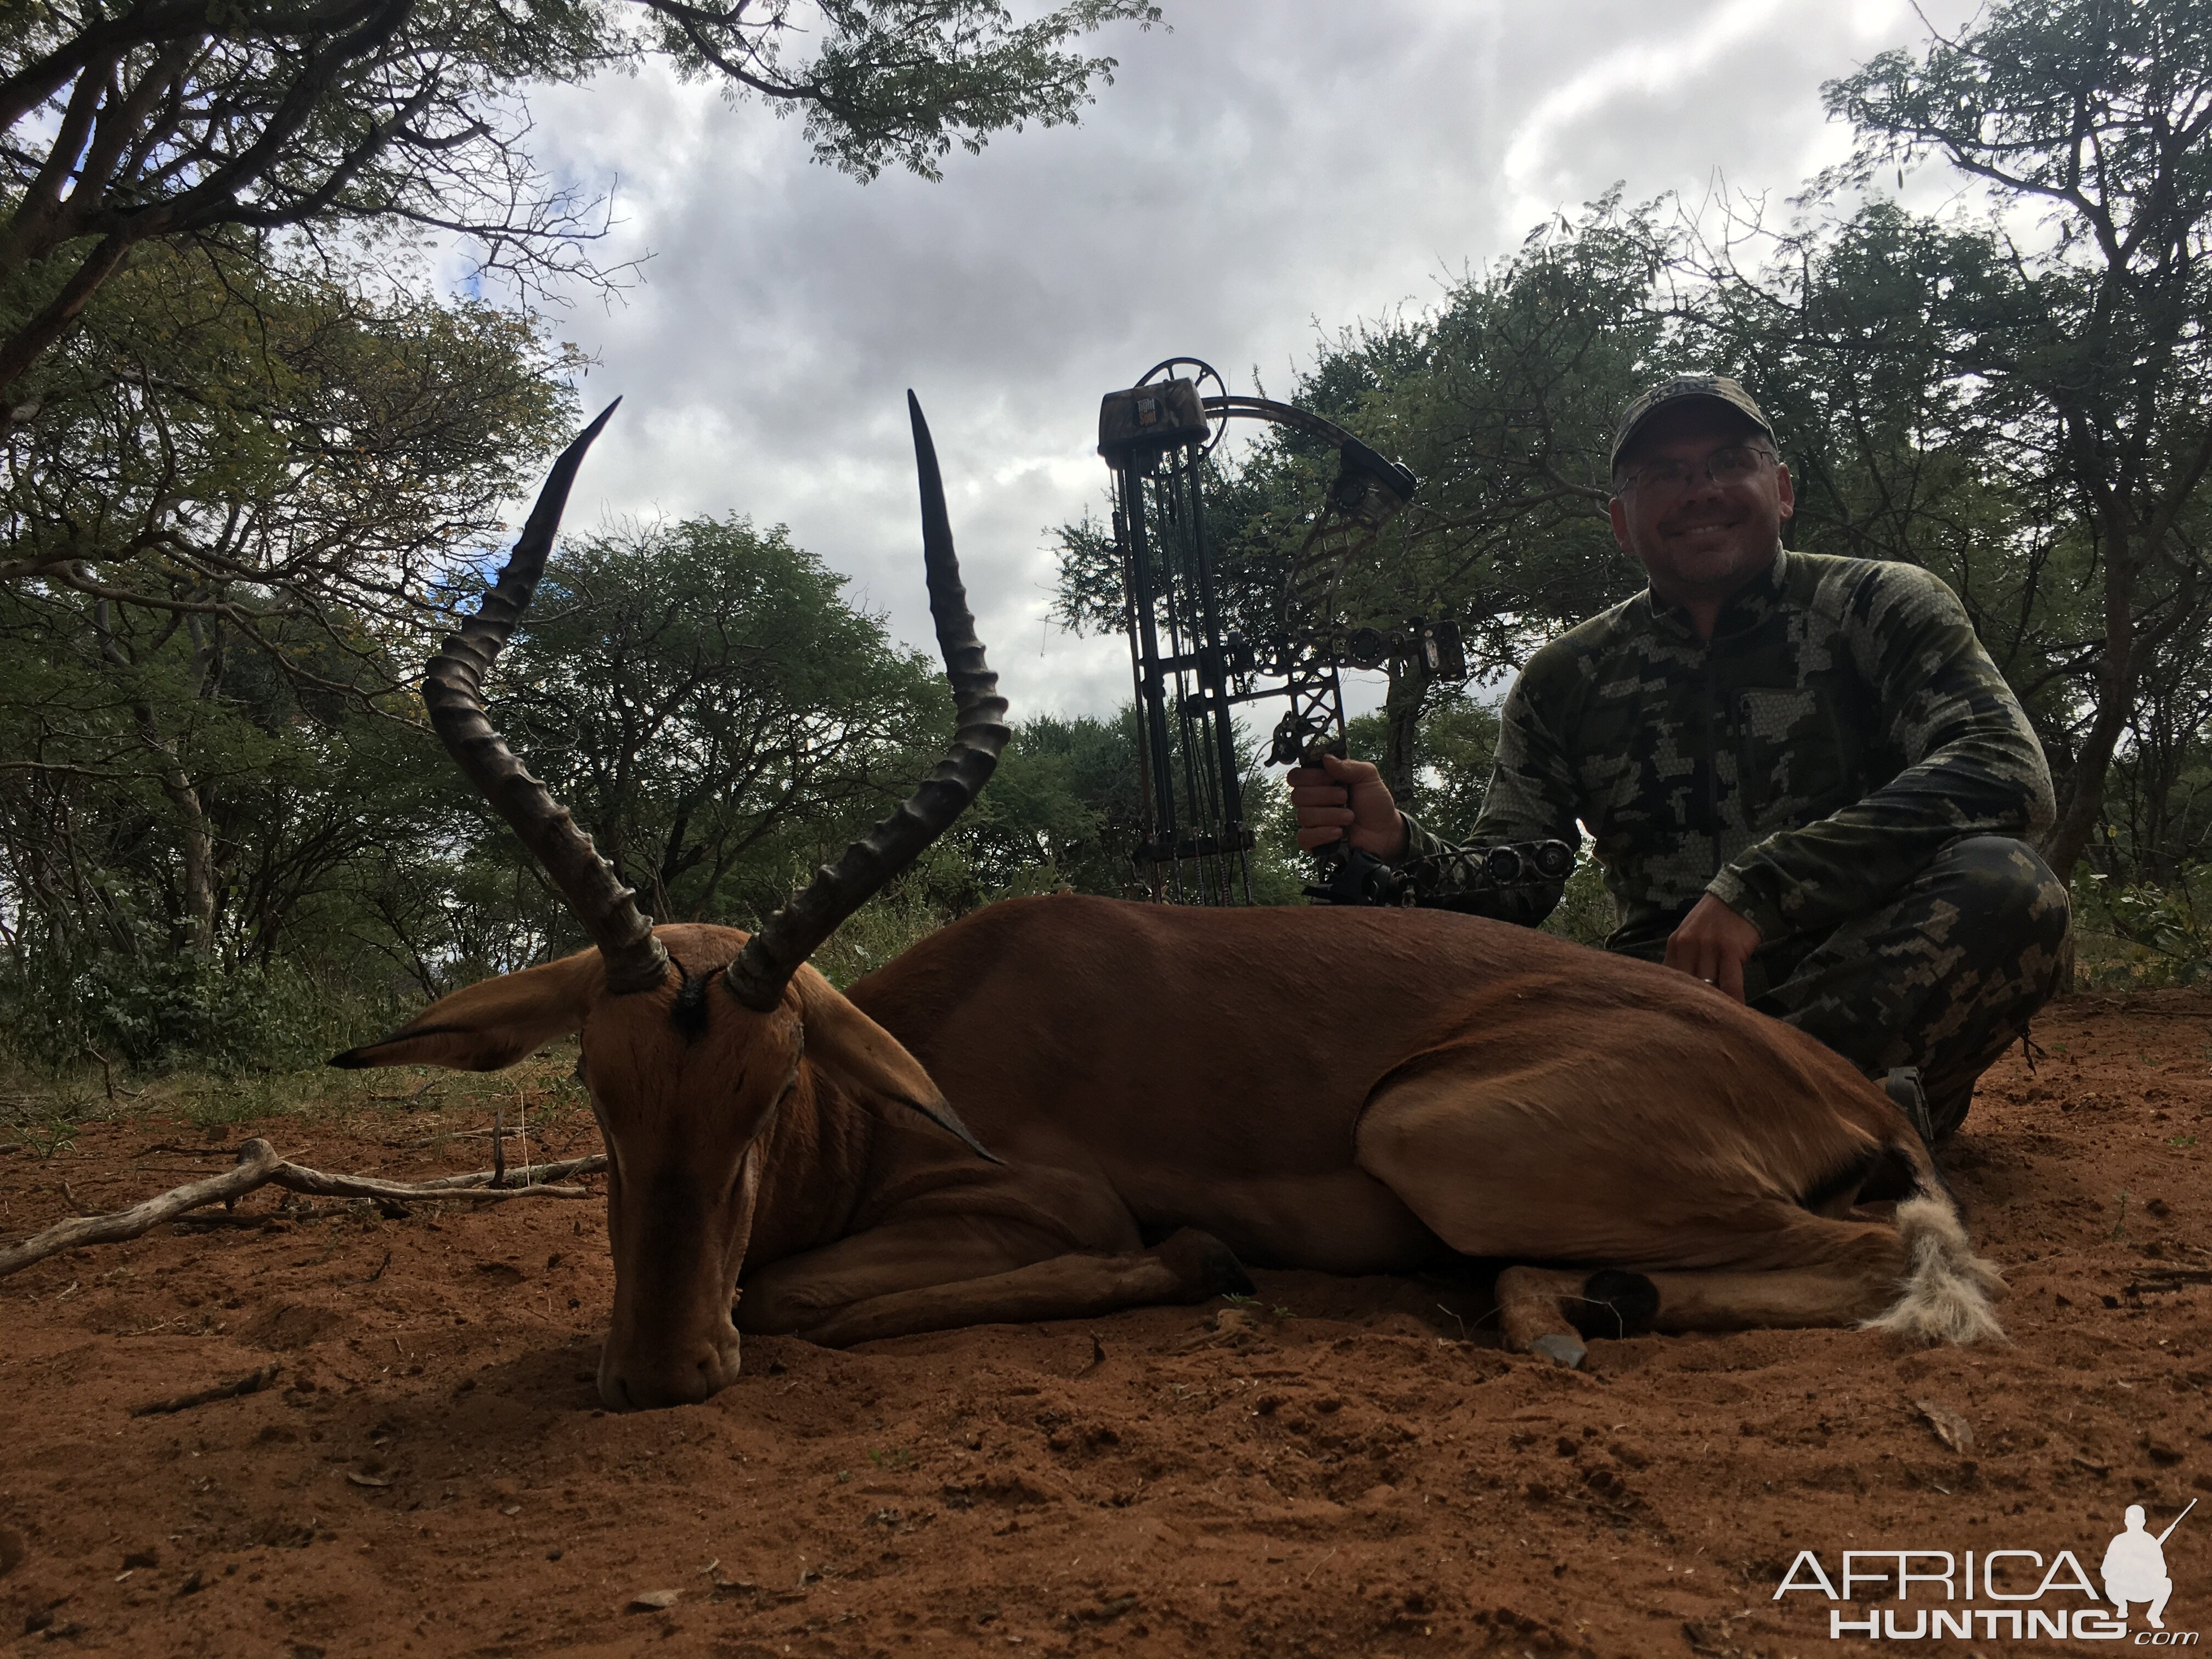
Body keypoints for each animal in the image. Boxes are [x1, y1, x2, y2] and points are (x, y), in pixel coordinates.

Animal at [327, 396, 2008, 1407]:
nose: (665, 1370)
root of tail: (1833, 1076)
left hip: (1431, 1130)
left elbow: (814, 1299)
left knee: (1909, 1261)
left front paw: (1204, 1264)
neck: (883, 1102)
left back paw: (1566, 1314)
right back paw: (1579, 1302)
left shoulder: (1032, 1199)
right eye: (595, 1090)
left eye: (773, 1085)